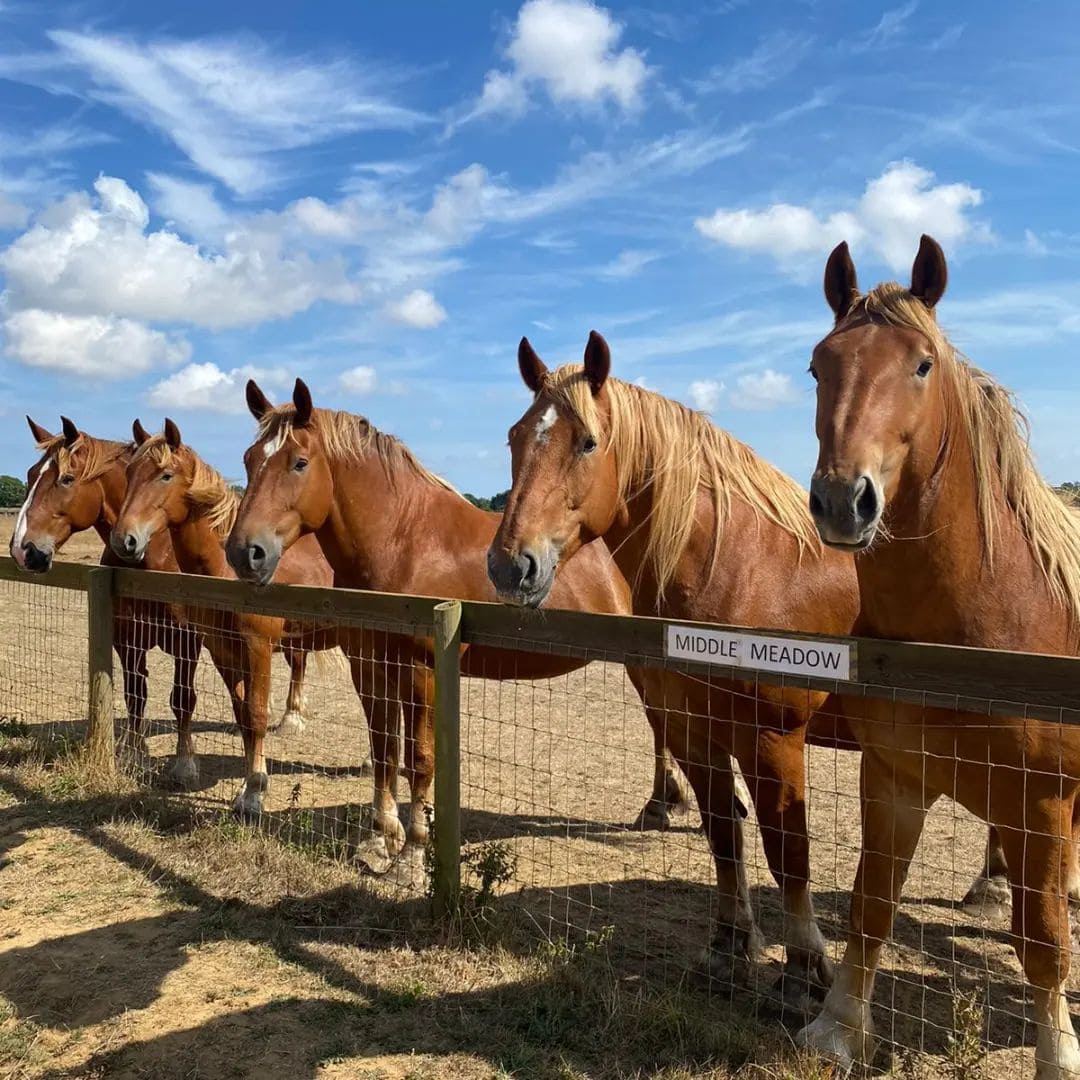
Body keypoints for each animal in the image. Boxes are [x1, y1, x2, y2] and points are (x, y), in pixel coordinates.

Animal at [9, 414, 203, 786]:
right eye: (29, 474)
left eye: (66, 479)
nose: (23, 551)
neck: (153, 559)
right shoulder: (127, 640)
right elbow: (135, 694)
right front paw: (133, 753)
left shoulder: (187, 642)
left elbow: (182, 698)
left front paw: (185, 763)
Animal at [113, 416, 365, 812]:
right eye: (129, 472)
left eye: (165, 474)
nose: (125, 540)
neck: (226, 573)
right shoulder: (223, 652)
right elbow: (242, 714)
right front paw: (249, 785)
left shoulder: (257, 647)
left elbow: (258, 713)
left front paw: (254, 794)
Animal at [227, 380, 699, 876]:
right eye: (249, 459)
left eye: (299, 462)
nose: (244, 552)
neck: (404, 542)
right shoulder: (371, 666)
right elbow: (383, 751)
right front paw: (379, 840)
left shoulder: (424, 672)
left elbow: (419, 758)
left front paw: (412, 856)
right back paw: (661, 805)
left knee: (665, 722)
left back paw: (665, 805)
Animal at [799, 234, 1080, 1071]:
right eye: (818, 366)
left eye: (922, 364)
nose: (842, 501)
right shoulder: (895, 778)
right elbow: (871, 904)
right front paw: (837, 1029)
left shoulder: (1041, 806)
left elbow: (1043, 941)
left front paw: (1058, 1057)